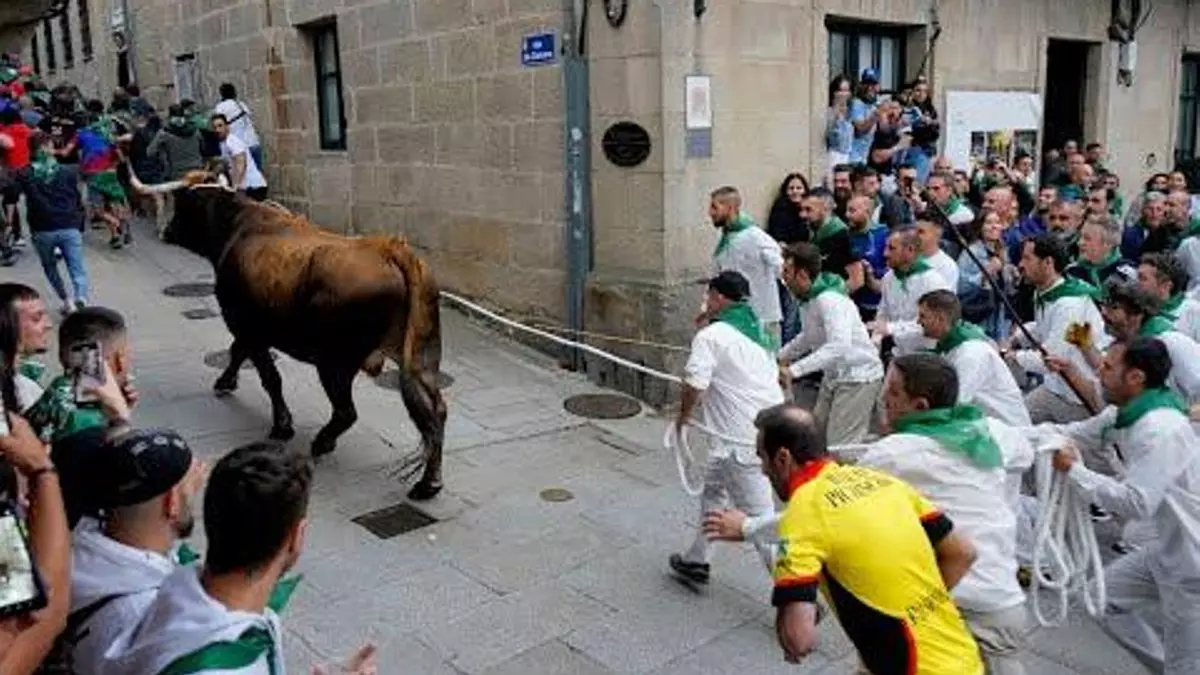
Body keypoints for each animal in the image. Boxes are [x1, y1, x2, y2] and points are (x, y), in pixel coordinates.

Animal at [132, 170, 448, 500]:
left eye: (181, 203)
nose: (165, 231)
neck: (238, 226)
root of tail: (388, 248)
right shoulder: (247, 328)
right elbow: (237, 353)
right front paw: (226, 381)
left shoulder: (246, 326)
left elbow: (268, 375)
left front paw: (282, 426)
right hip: (421, 360)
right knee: (435, 412)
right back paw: (429, 482)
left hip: (333, 363)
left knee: (346, 412)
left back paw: (322, 442)